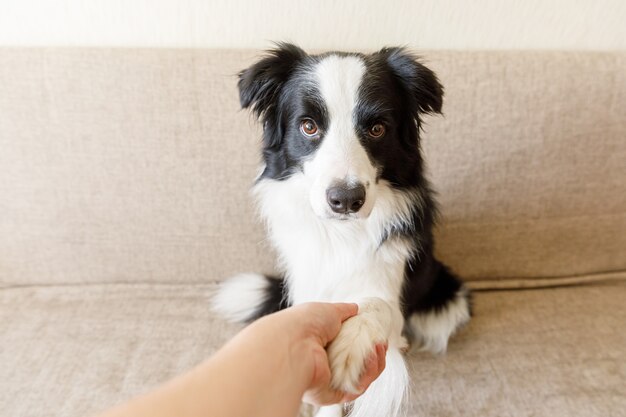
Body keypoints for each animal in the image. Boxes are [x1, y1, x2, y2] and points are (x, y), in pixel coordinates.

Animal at [211, 43, 468, 416]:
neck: (340, 234)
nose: (346, 199)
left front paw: (349, 348)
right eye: (308, 126)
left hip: (446, 297)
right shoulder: (308, 285)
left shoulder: (389, 283)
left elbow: (373, 305)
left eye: (377, 129)